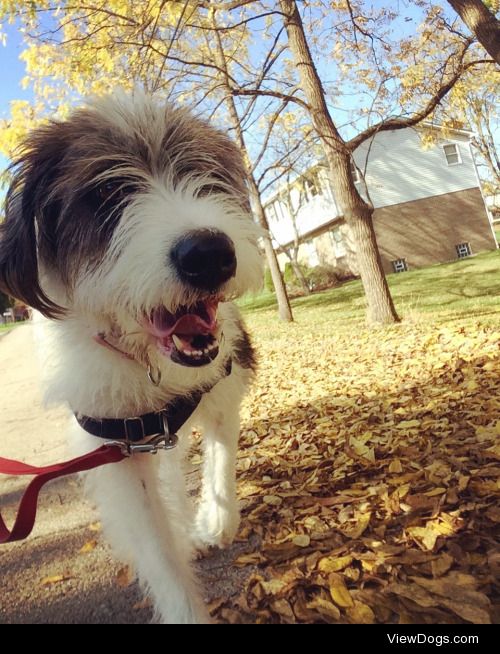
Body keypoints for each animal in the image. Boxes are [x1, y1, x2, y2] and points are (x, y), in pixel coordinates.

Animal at [0, 92, 264, 624]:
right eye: (107, 191)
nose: (209, 254)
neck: (149, 364)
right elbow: (158, 550)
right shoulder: (115, 446)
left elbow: (220, 455)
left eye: (206, 172)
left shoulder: (225, 381)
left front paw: (216, 520)